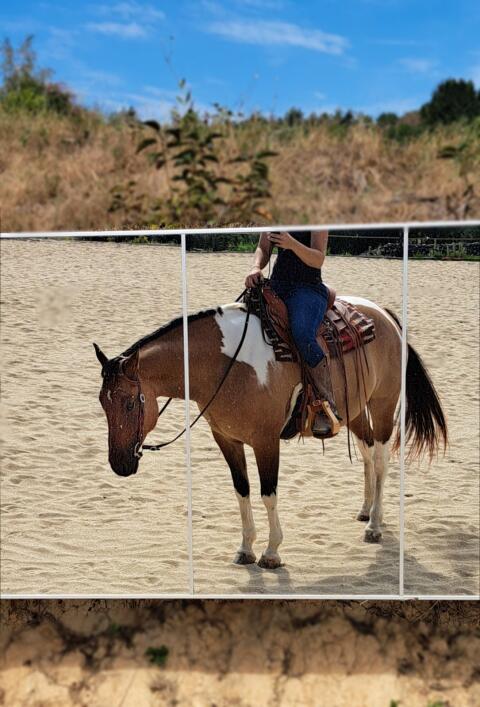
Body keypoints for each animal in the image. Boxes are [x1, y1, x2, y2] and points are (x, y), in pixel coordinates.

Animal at [93, 295, 447, 569]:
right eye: (102, 402)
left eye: (129, 403)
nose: (119, 464)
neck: (223, 365)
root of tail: (384, 315)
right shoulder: (227, 440)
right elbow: (242, 491)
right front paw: (246, 548)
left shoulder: (265, 442)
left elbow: (268, 494)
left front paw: (272, 551)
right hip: (355, 411)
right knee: (368, 454)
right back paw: (366, 510)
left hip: (383, 405)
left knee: (382, 460)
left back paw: (375, 524)